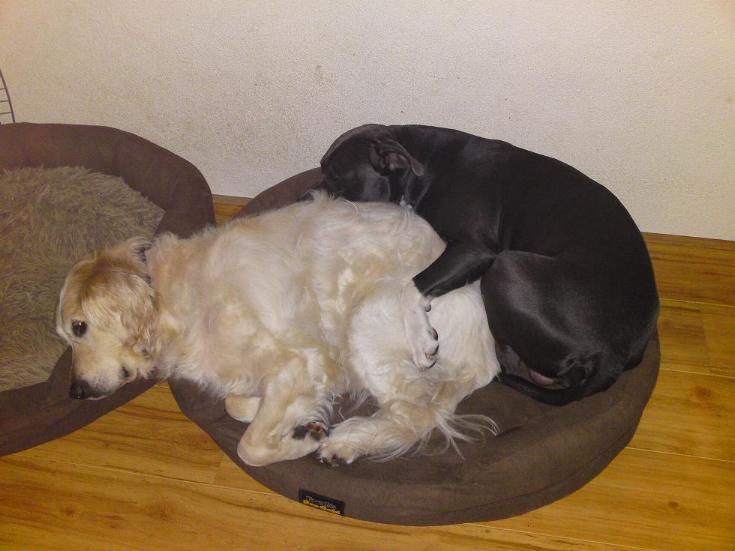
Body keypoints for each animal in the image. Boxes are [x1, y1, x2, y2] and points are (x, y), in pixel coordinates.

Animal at [56, 193, 499, 466]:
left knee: (413, 416)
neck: (164, 293)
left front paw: (304, 439)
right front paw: (298, 420)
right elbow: (235, 405)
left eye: (79, 327)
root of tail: (486, 359)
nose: (74, 392)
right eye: (65, 336)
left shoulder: (300, 362)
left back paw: (344, 443)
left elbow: (250, 446)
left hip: (368, 322)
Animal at [318, 124, 659, 405]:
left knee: (508, 359)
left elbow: (411, 286)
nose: (312, 196)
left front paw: (421, 339)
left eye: (335, 177)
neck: (420, 166)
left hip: (506, 268)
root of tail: (613, 356)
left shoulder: (474, 249)